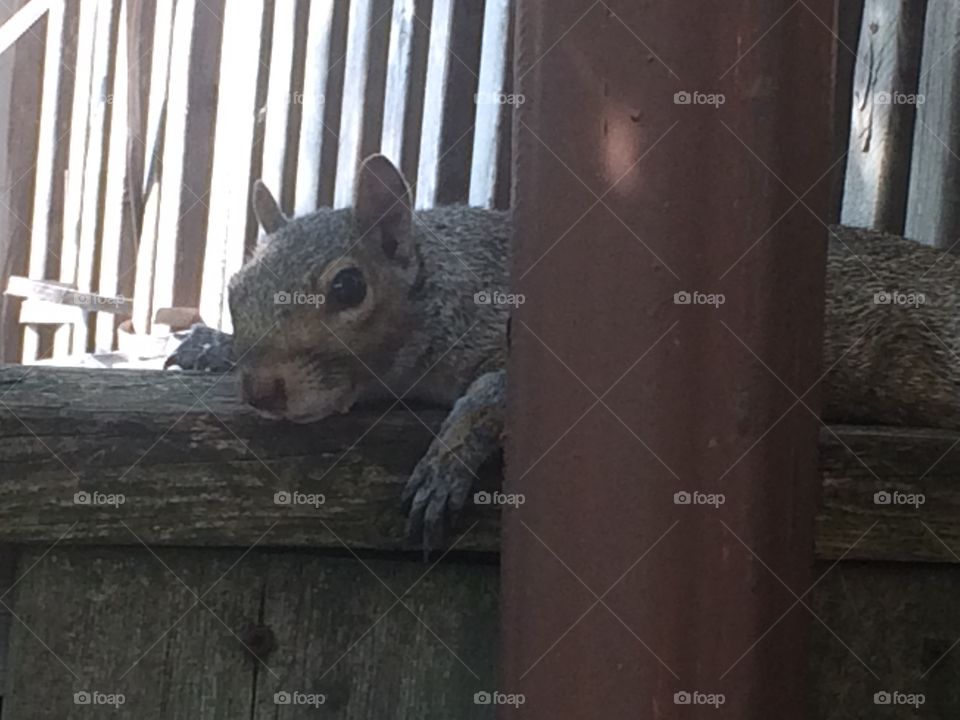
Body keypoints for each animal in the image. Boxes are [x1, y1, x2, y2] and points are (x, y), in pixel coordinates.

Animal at [167, 154, 960, 548]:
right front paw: (208, 345)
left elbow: (494, 391)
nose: (261, 391)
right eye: (235, 287)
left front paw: (447, 461)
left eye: (348, 287)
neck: (443, 283)